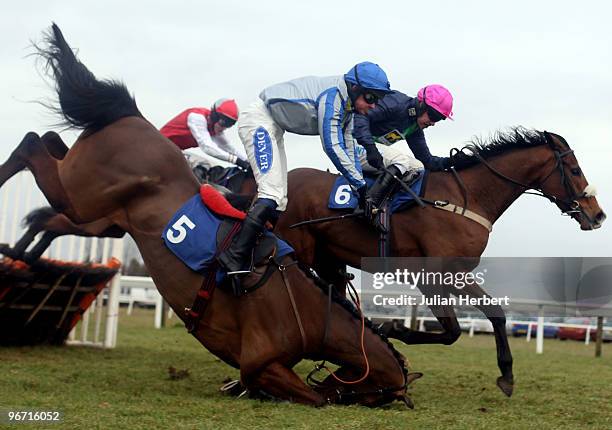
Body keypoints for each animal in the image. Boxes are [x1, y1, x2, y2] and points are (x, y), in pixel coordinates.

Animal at [0, 22, 416, 406]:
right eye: (378, 396)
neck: (313, 313)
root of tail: (134, 116)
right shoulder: (261, 363)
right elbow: (314, 398)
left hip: (85, 191)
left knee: (47, 147)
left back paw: (19, 249)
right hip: (82, 197)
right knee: (32, 146)